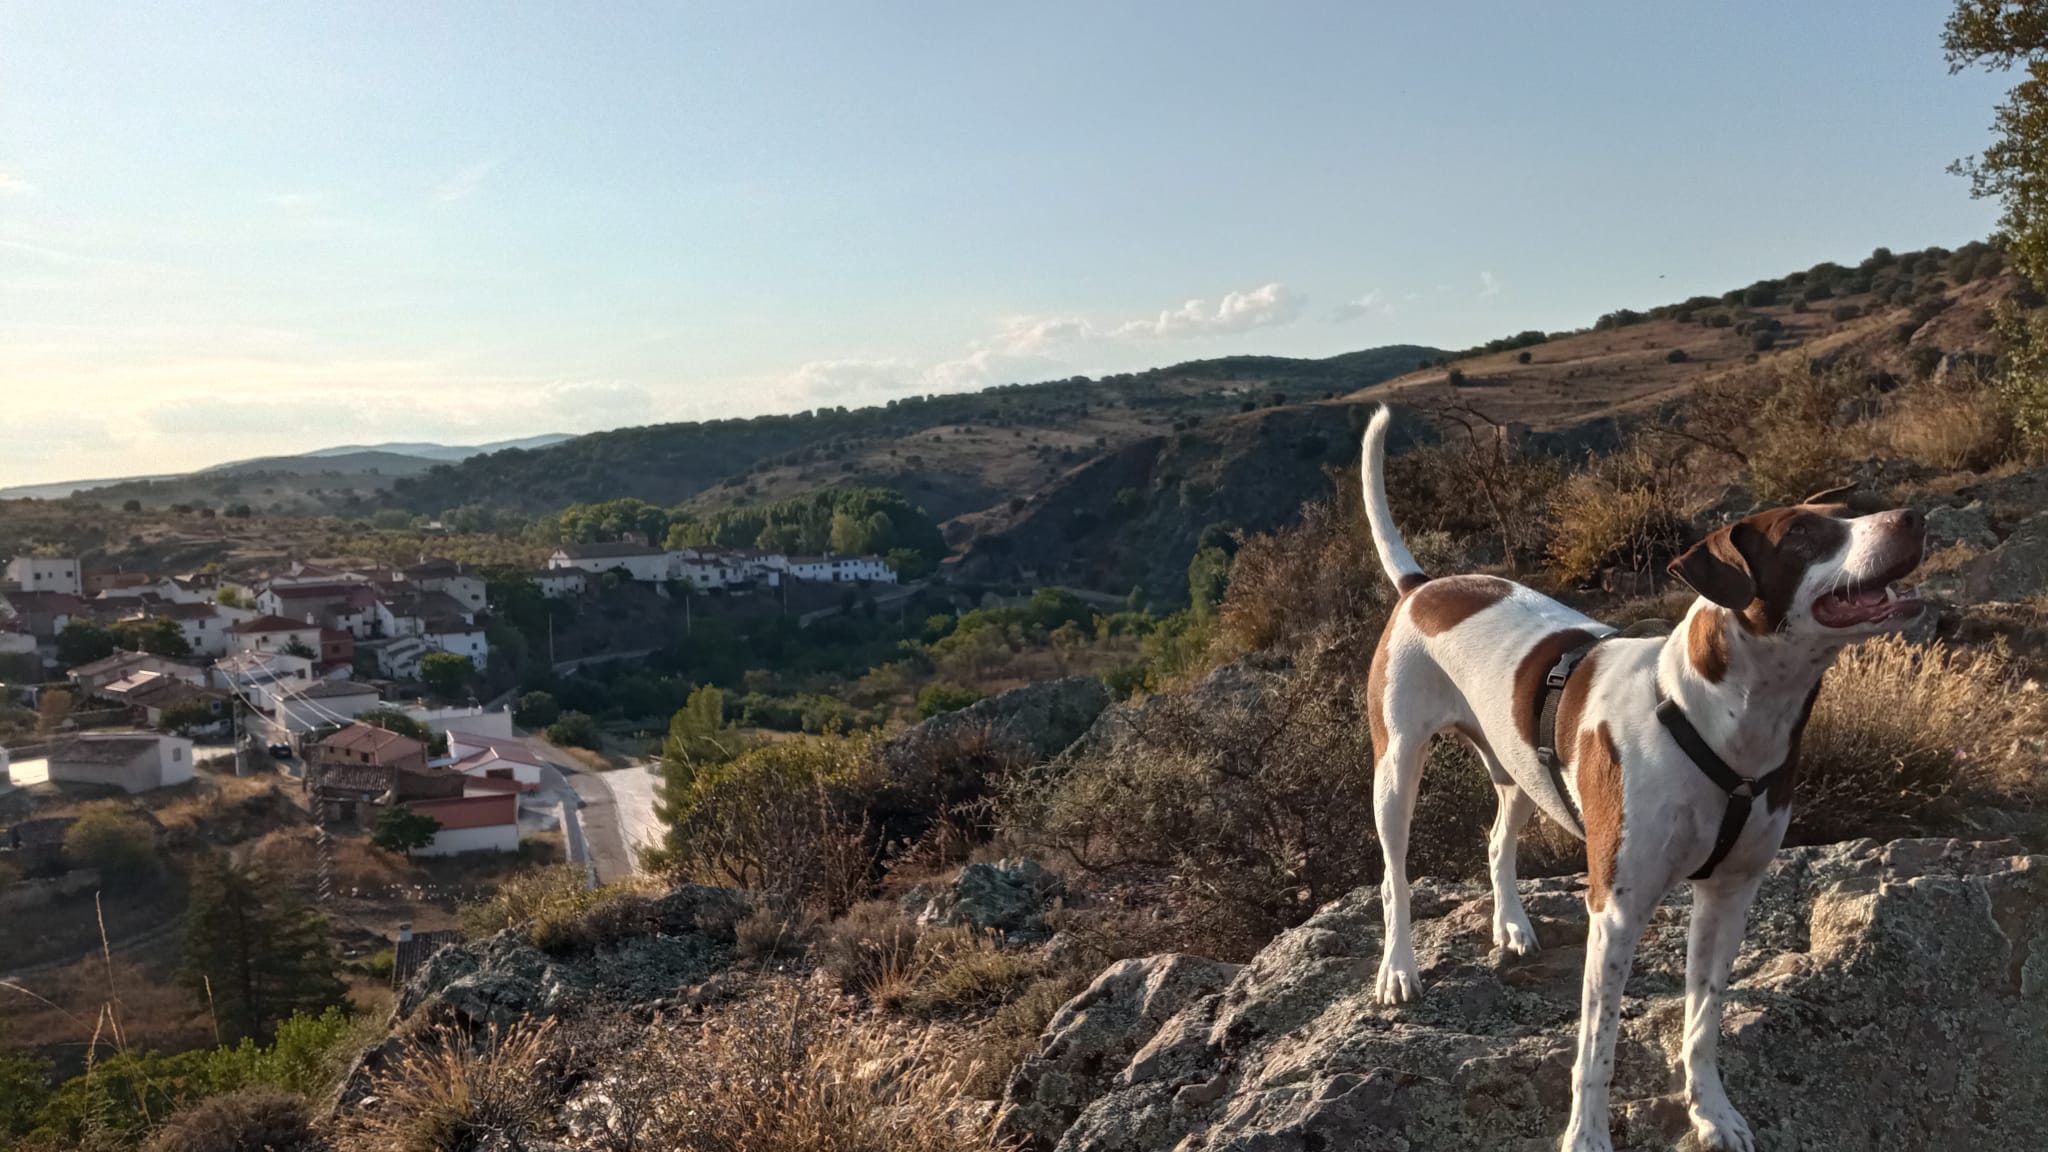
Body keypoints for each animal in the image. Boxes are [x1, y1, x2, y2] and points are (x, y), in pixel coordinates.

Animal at [1359, 405, 1916, 1147]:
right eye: (1800, 535)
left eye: (1851, 514)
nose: (1913, 517)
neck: (1718, 717)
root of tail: (1423, 586)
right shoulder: (1616, 910)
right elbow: (1596, 1048)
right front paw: (1587, 1134)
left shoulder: (1729, 896)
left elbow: (1703, 1021)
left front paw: (1711, 1111)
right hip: (1396, 767)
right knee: (1394, 876)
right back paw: (1398, 968)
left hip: (1517, 767)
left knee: (1498, 839)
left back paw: (1512, 925)